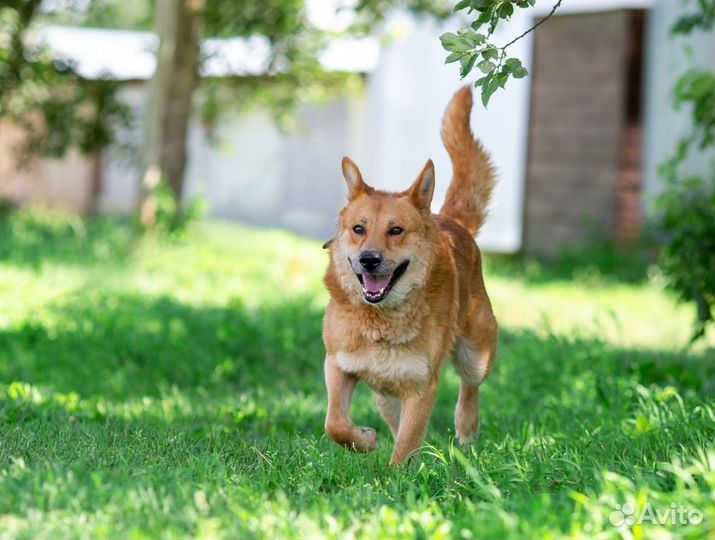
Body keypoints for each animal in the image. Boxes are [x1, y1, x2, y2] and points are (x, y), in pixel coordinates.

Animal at [324, 87, 498, 464]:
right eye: (358, 229)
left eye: (396, 230)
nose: (369, 260)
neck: (381, 322)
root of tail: (451, 222)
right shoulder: (338, 366)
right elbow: (336, 424)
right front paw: (365, 440)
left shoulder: (420, 385)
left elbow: (405, 446)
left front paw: (396, 475)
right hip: (385, 393)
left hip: (475, 353)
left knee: (470, 387)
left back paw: (467, 430)